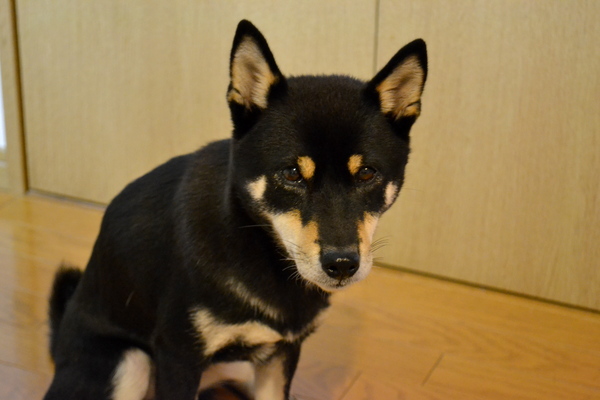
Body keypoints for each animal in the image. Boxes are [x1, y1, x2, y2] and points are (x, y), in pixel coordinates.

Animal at [43, 19, 426, 400]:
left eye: (367, 173)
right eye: (291, 173)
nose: (342, 264)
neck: (255, 241)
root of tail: (59, 346)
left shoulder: (282, 351)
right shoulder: (178, 356)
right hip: (130, 364)